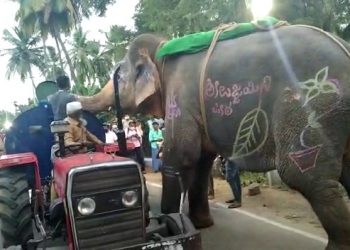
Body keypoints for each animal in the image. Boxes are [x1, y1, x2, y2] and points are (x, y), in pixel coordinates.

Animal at [78, 23, 350, 250]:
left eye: (119, 77)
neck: (163, 49)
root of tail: (343, 47)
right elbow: (202, 162)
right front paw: (202, 224)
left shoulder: (181, 99)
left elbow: (180, 157)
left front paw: (169, 218)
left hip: (312, 105)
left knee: (303, 175)